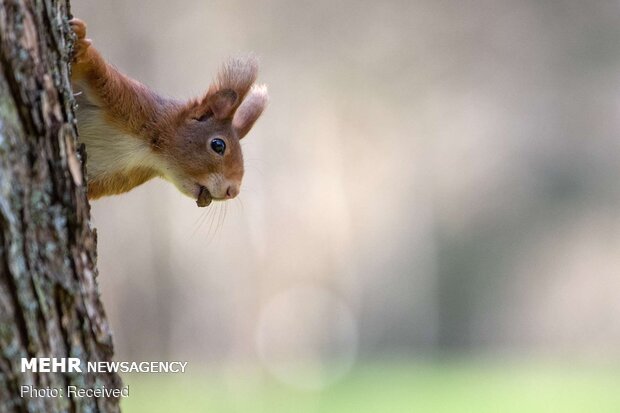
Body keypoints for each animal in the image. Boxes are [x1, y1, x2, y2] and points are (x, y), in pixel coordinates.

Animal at [69, 18, 266, 206]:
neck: (148, 151)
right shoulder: (123, 95)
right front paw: (80, 41)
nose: (233, 191)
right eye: (218, 145)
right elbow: (91, 66)